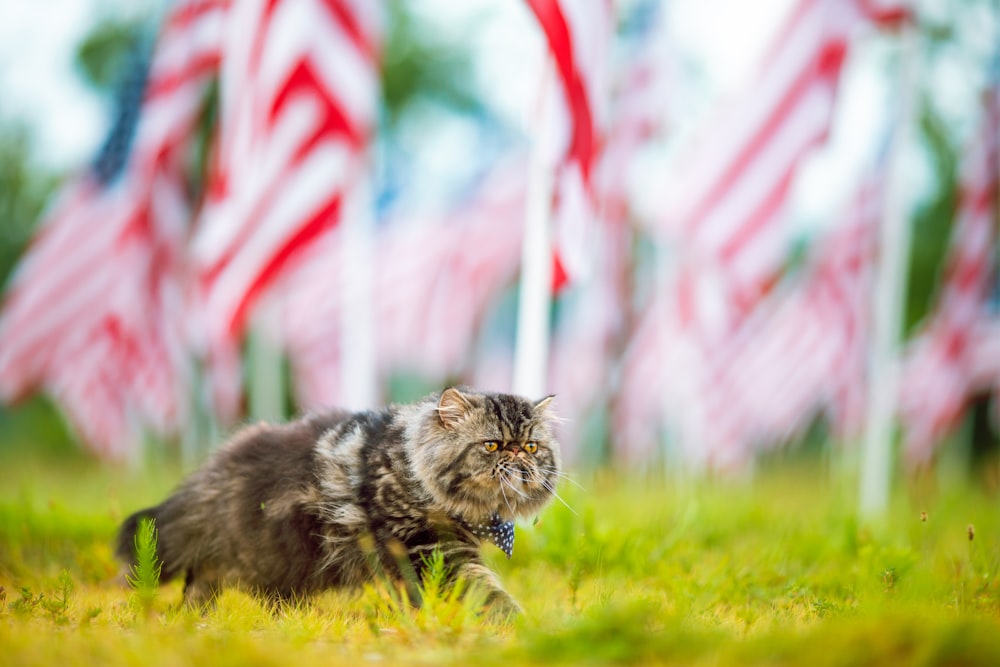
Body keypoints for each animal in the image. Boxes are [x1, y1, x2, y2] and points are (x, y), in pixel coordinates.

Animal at [117, 388, 564, 620]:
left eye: (531, 446)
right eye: (491, 445)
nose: (518, 456)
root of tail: (213, 468)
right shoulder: (434, 552)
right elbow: (487, 595)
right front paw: (518, 628)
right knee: (205, 577)